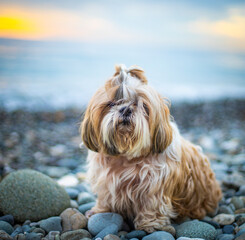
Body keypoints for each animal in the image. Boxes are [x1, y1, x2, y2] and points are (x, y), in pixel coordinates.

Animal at [81, 63, 222, 232]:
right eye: (111, 104)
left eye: (141, 105)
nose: (125, 109)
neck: (126, 155)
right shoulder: (105, 181)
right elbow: (105, 197)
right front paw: (101, 211)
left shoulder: (154, 186)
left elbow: (151, 204)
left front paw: (150, 224)